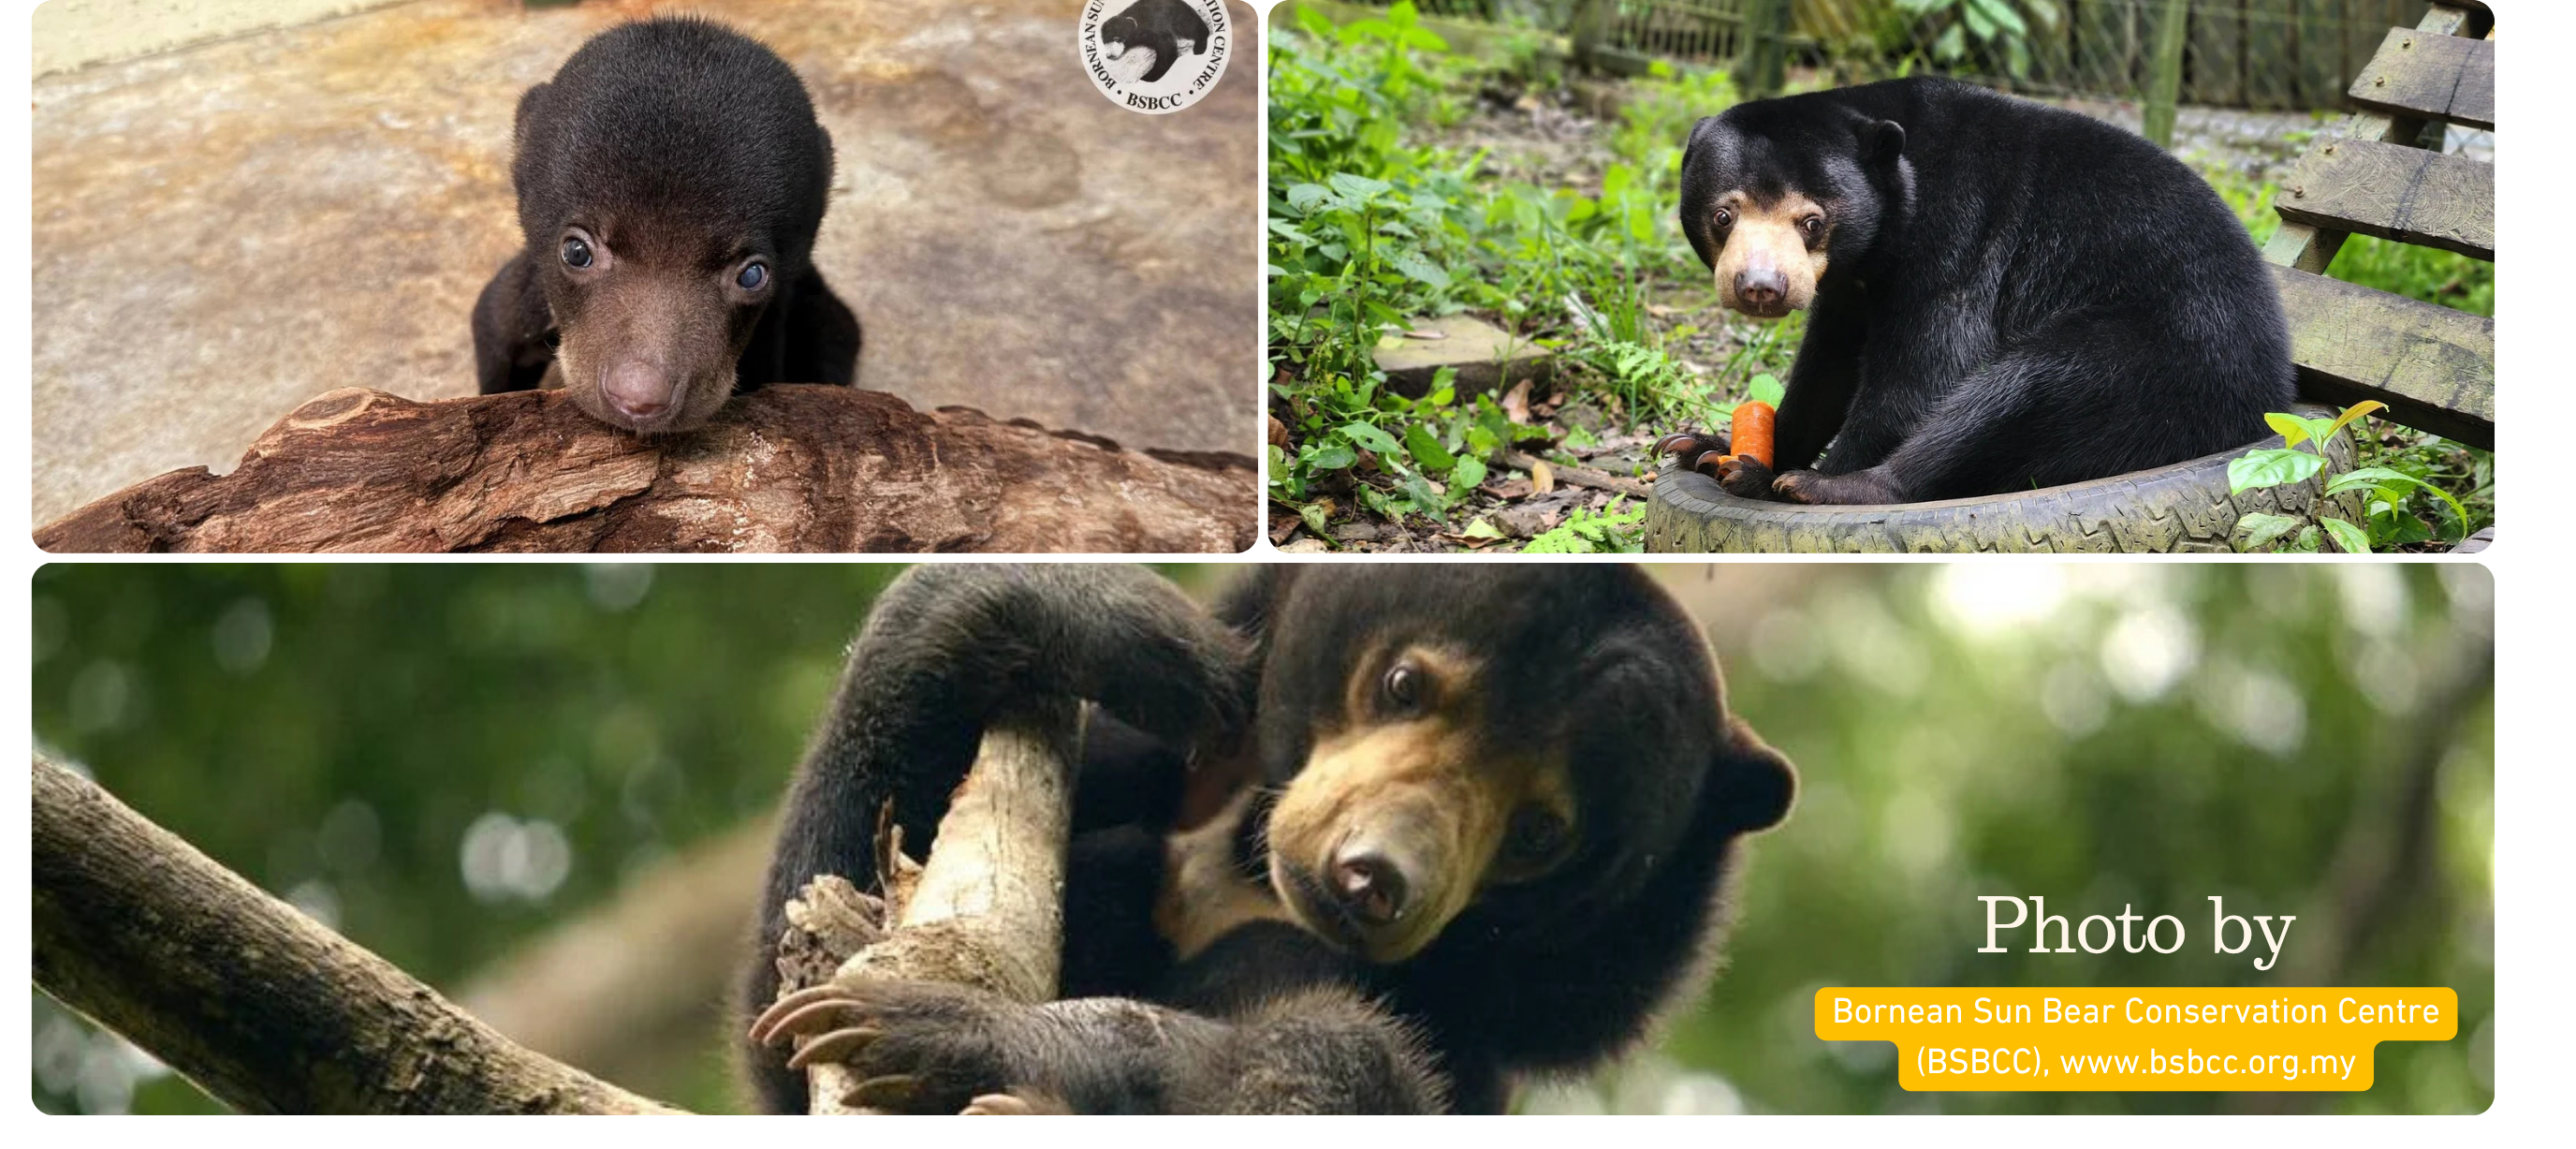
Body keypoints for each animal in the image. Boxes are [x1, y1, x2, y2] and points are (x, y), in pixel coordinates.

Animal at [743, 564, 1795, 1114]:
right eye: (1405, 683)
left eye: (1540, 831)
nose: (1371, 877)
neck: (1241, 865)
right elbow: (786, 1001)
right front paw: (1136, 631)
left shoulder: (1471, 1033)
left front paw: (930, 1029)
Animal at [1655, 76, 2295, 504]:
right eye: (1724, 215)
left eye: (1811, 220)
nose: (1762, 287)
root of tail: (2268, 398)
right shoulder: (1848, 283)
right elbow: (1826, 369)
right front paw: (1707, 446)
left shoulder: (1958, 236)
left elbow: (1924, 371)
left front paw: (1777, 475)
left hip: (2163, 362)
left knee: (2024, 391)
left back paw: (1841, 489)